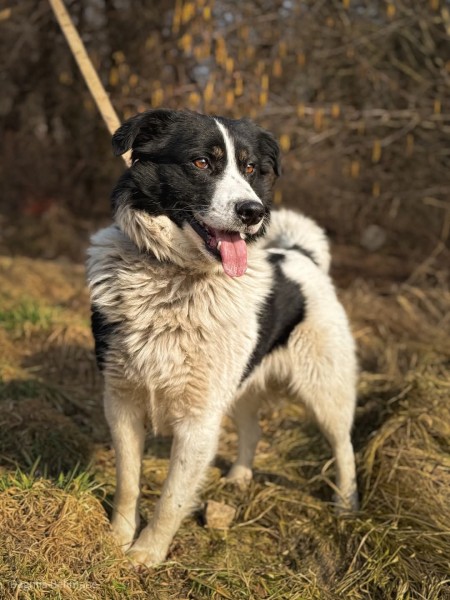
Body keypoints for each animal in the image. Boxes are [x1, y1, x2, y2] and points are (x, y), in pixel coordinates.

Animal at [86, 109, 358, 568]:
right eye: (201, 162)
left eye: (249, 168)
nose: (254, 212)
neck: (176, 281)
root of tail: (300, 254)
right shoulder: (121, 399)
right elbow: (128, 482)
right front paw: (116, 539)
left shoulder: (199, 420)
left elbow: (172, 499)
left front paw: (147, 554)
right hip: (242, 384)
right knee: (253, 429)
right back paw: (238, 477)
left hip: (326, 389)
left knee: (343, 445)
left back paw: (346, 503)